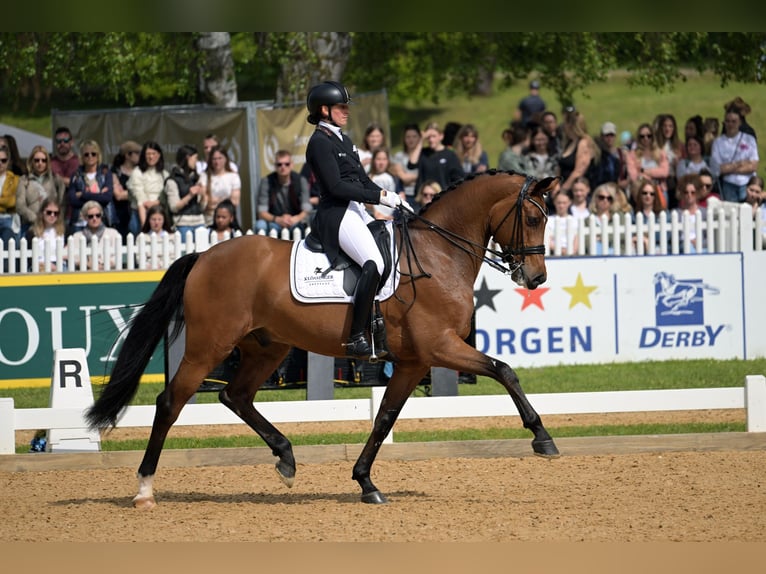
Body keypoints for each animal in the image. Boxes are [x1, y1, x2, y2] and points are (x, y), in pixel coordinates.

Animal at [87, 170, 560, 508]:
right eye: (533, 218)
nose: (536, 279)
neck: (438, 255)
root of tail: (204, 255)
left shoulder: (414, 362)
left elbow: (385, 418)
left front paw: (366, 482)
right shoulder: (440, 348)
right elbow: (504, 370)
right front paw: (542, 438)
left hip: (267, 347)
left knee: (235, 396)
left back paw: (285, 457)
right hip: (209, 347)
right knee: (171, 402)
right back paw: (145, 489)